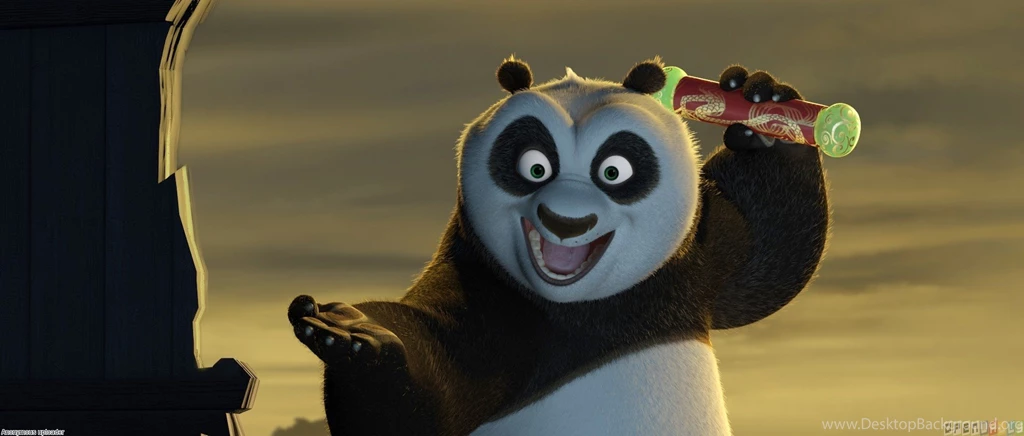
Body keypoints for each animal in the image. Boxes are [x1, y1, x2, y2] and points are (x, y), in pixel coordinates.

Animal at [288, 56, 830, 436]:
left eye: (614, 171)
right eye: (534, 166)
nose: (566, 221)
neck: (579, 307)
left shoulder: (688, 267)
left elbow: (764, 255)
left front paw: (763, 108)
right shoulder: (487, 300)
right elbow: (429, 398)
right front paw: (358, 336)